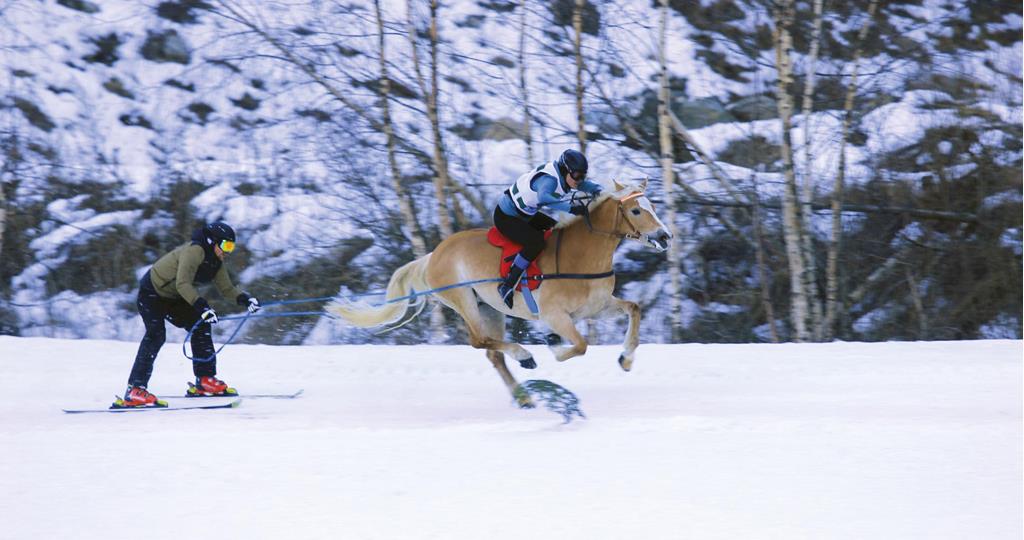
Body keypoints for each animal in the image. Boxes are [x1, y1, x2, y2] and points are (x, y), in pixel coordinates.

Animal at [327, 179, 675, 407]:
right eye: (636, 210)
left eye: (652, 206)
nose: (665, 236)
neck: (580, 257)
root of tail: (433, 255)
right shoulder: (555, 315)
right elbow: (580, 344)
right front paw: (552, 346)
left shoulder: (597, 307)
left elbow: (634, 309)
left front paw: (626, 359)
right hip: (465, 302)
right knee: (479, 341)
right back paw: (525, 356)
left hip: (490, 309)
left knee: (492, 353)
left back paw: (523, 396)